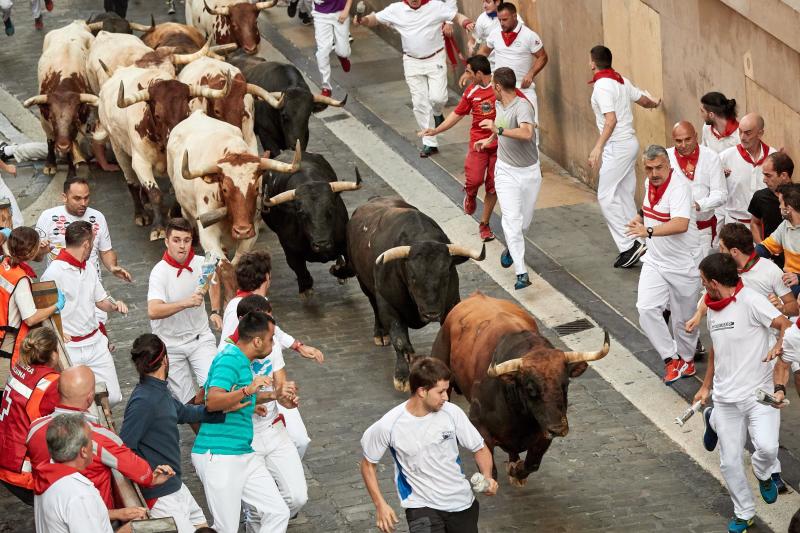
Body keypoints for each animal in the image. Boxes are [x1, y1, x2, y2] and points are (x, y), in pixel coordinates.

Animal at [262, 151, 360, 296]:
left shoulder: (346, 244)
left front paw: (336, 270)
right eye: (301, 213)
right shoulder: (290, 252)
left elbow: (351, 268)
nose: (322, 244)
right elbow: (302, 273)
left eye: (331, 208)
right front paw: (305, 288)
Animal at [346, 195, 484, 390]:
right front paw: (402, 377)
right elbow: (399, 340)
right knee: (373, 305)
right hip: (364, 283)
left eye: (446, 274)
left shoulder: (450, 303)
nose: (431, 313)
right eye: (412, 277)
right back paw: (380, 333)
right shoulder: (388, 305)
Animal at [434, 290, 608, 486]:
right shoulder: (479, 426)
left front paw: (516, 471)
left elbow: (531, 464)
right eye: (530, 389)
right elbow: (490, 470)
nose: (558, 429)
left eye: (566, 384)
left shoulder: (543, 433)